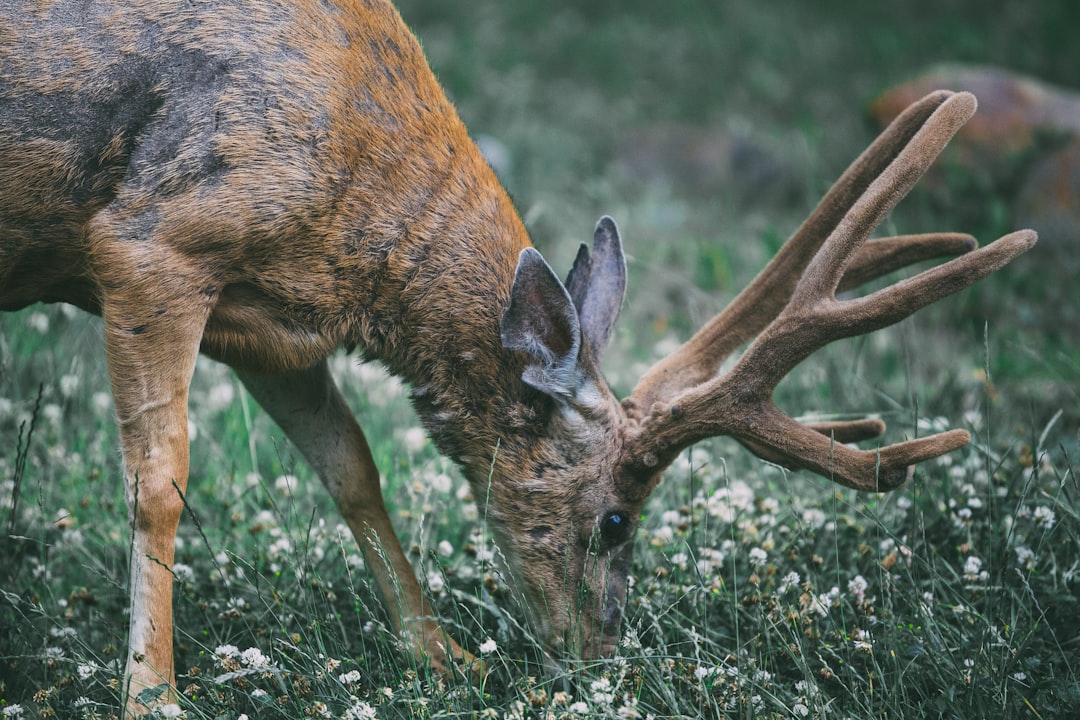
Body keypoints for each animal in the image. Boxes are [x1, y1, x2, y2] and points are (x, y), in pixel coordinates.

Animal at [0, 0, 1036, 716]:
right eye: (616, 521)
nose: (599, 660)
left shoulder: (269, 324)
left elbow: (351, 466)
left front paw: (441, 657)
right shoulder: (152, 242)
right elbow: (160, 483)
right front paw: (152, 694)